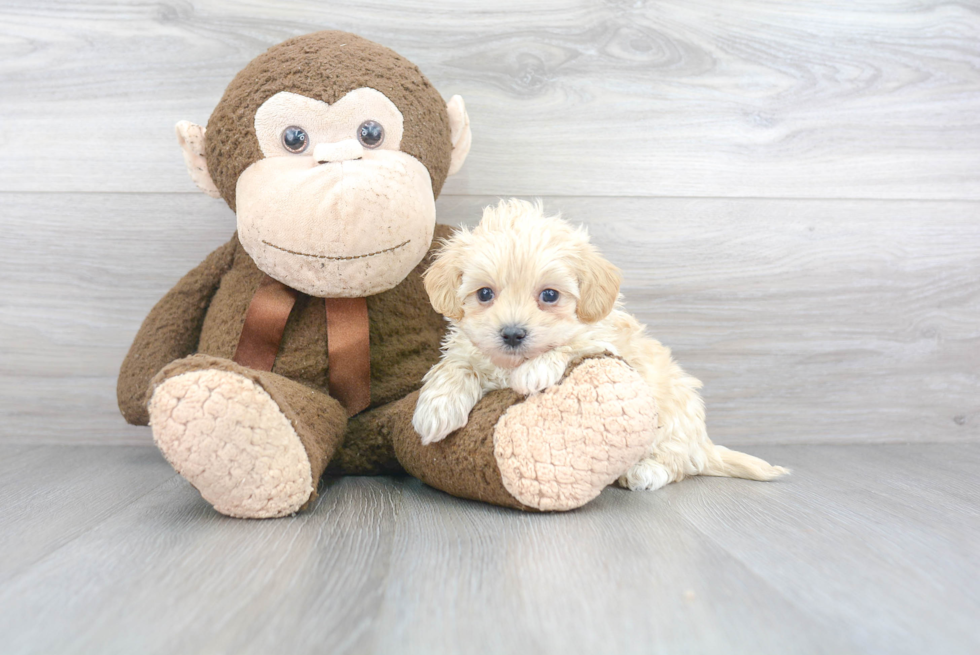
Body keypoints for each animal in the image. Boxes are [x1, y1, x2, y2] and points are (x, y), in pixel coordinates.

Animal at [412, 200, 788, 492]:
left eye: (550, 295)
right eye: (485, 294)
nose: (513, 334)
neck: (510, 364)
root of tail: (704, 444)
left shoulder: (605, 340)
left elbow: (572, 343)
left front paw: (534, 372)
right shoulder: (466, 348)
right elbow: (456, 365)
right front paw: (436, 409)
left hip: (674, 418)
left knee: (678, 463)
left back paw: (645, 471)